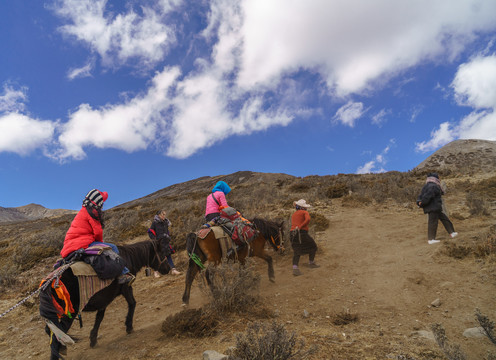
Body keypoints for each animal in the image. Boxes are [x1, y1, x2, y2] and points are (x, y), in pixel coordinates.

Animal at [39, 239, 170, 360]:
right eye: (162, 252)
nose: (167, 269)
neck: (128, 258)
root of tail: (49, 283)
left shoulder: (103, 299)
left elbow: (99, 317)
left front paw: (93, 339)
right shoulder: (126, 288)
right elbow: (132, 303)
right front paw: (129, 326)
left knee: (52, 333)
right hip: (70, 313)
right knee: (56, 337)